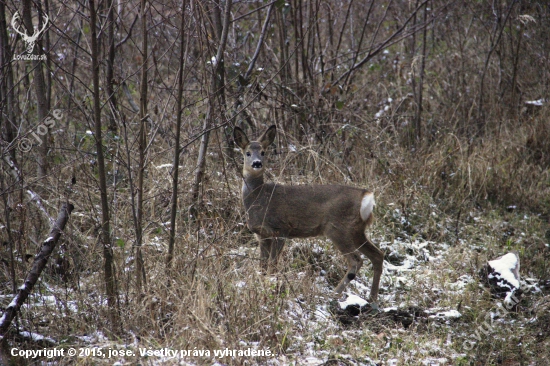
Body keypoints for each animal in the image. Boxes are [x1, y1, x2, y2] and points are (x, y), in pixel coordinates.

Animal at [235, 126, 386, 304]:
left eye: (263, 152)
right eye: (247, 153)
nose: (257, 163)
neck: (259, 198)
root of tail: (366, 197)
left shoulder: (281, 228)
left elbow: (273, 264)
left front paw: (271, 287)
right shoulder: (262, 235)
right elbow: (263, 266)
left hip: (338, 228)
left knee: (356, 260)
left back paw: (334, 294)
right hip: (357, 231)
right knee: (377, 255)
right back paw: (373, 298)